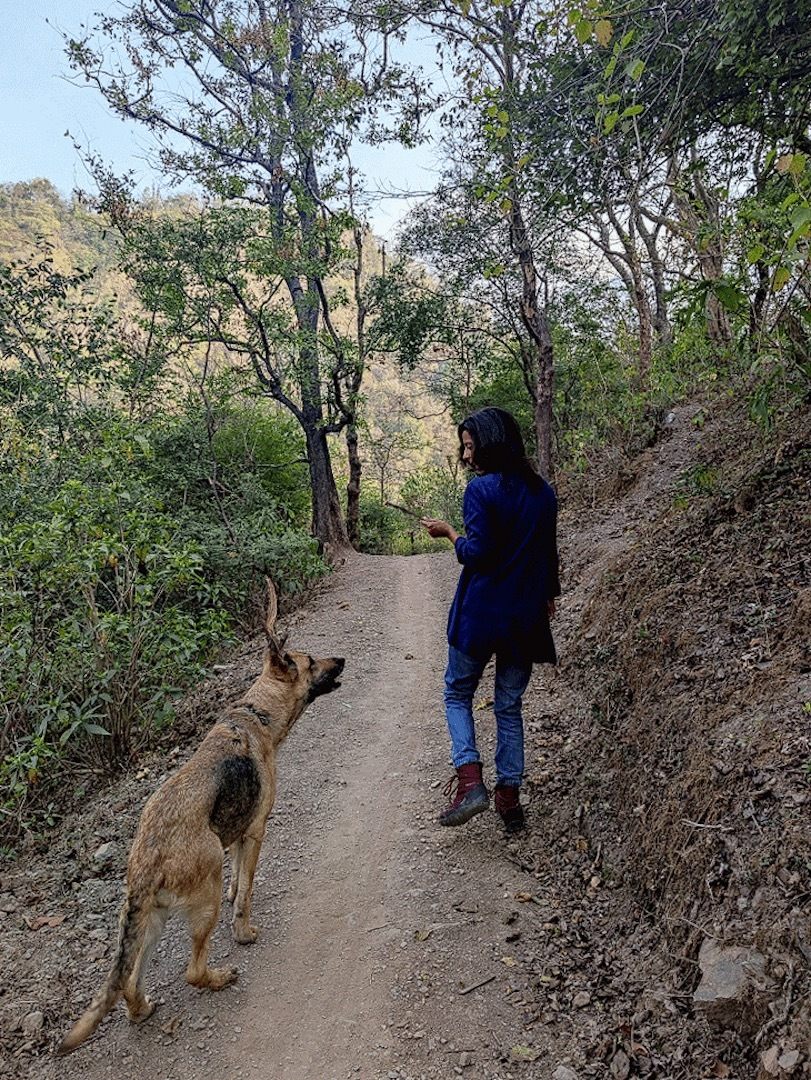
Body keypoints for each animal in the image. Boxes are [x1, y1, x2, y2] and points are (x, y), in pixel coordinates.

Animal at [57, 583, 345, 1054]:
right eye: (310, 660)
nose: (341, 661)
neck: (257, 713)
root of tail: (145, 866)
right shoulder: (256, 831)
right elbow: (245, 891)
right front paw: (244, 931)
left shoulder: (237, 835)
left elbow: (237, 880)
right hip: (202, 891)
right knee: (191, 970)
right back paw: (219, 976)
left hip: (150, 921)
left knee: (129, 985)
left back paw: (144, 1008)